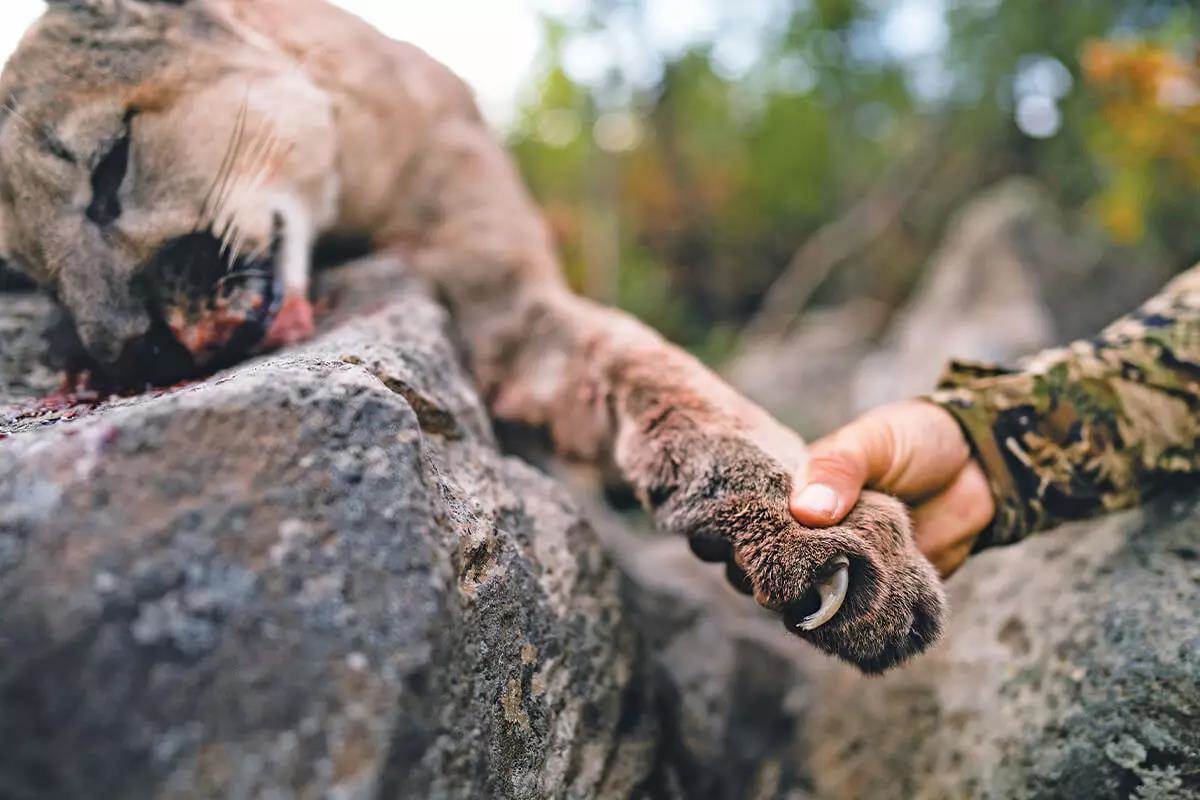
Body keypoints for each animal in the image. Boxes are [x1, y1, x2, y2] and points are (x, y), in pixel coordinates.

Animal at [0, 0, 945, 673]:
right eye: (31, 273)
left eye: (112, 162)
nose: (129, 349)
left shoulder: (508, 297)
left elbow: (664, 371)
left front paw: (820, 527)